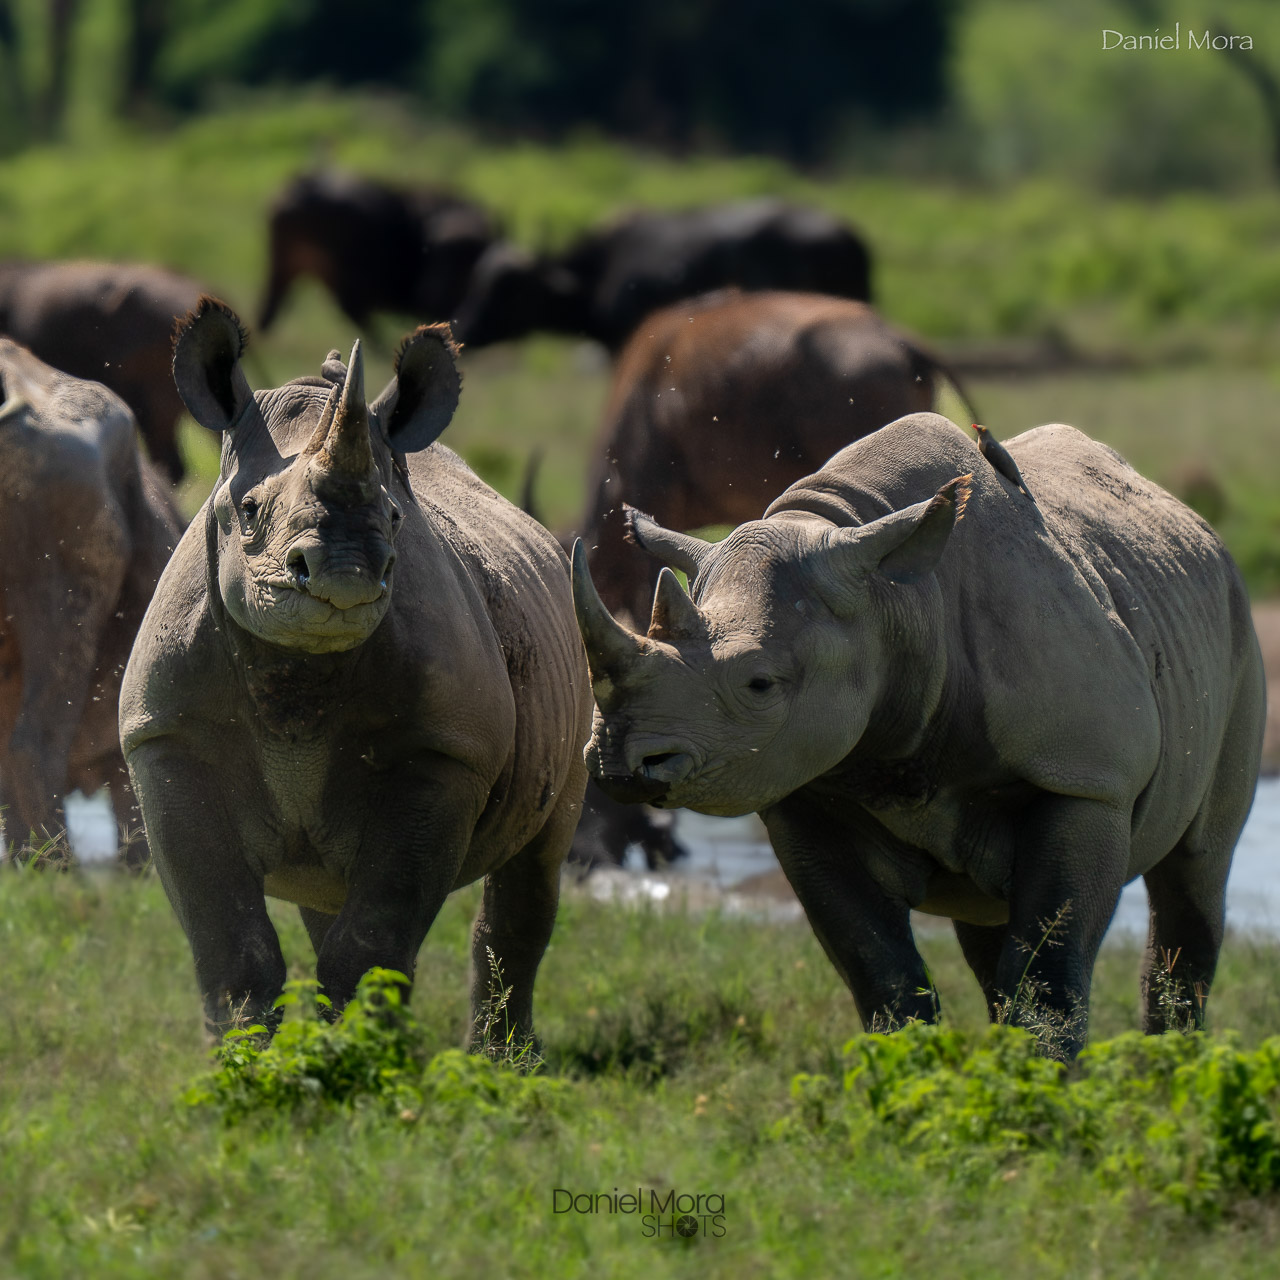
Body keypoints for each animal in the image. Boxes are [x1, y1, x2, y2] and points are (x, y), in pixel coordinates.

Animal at [120, 300, 590, 1040]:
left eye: (395, 518)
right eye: (248, 512)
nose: (344, 573)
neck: (297, 672)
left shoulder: (444, 752)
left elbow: (371, 945)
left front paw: (359, 1051)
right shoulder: (167, 736)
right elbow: (233, 948)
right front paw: (255, 1058)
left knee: (535, 863)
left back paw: (502, 1058)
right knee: (325, 892)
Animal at [573, 413, 1265, 1056]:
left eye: (760, 685)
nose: (617, 762)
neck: (895, 605)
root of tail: (1197, 527)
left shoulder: (1087, 781)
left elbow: (1048, 981)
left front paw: (1042, 1090)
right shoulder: (804, 798)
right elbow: (884, 977)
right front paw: (911, 1080)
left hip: (1234, 633)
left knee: (1195, 872)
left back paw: (1169, 1070)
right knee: (989, 928)